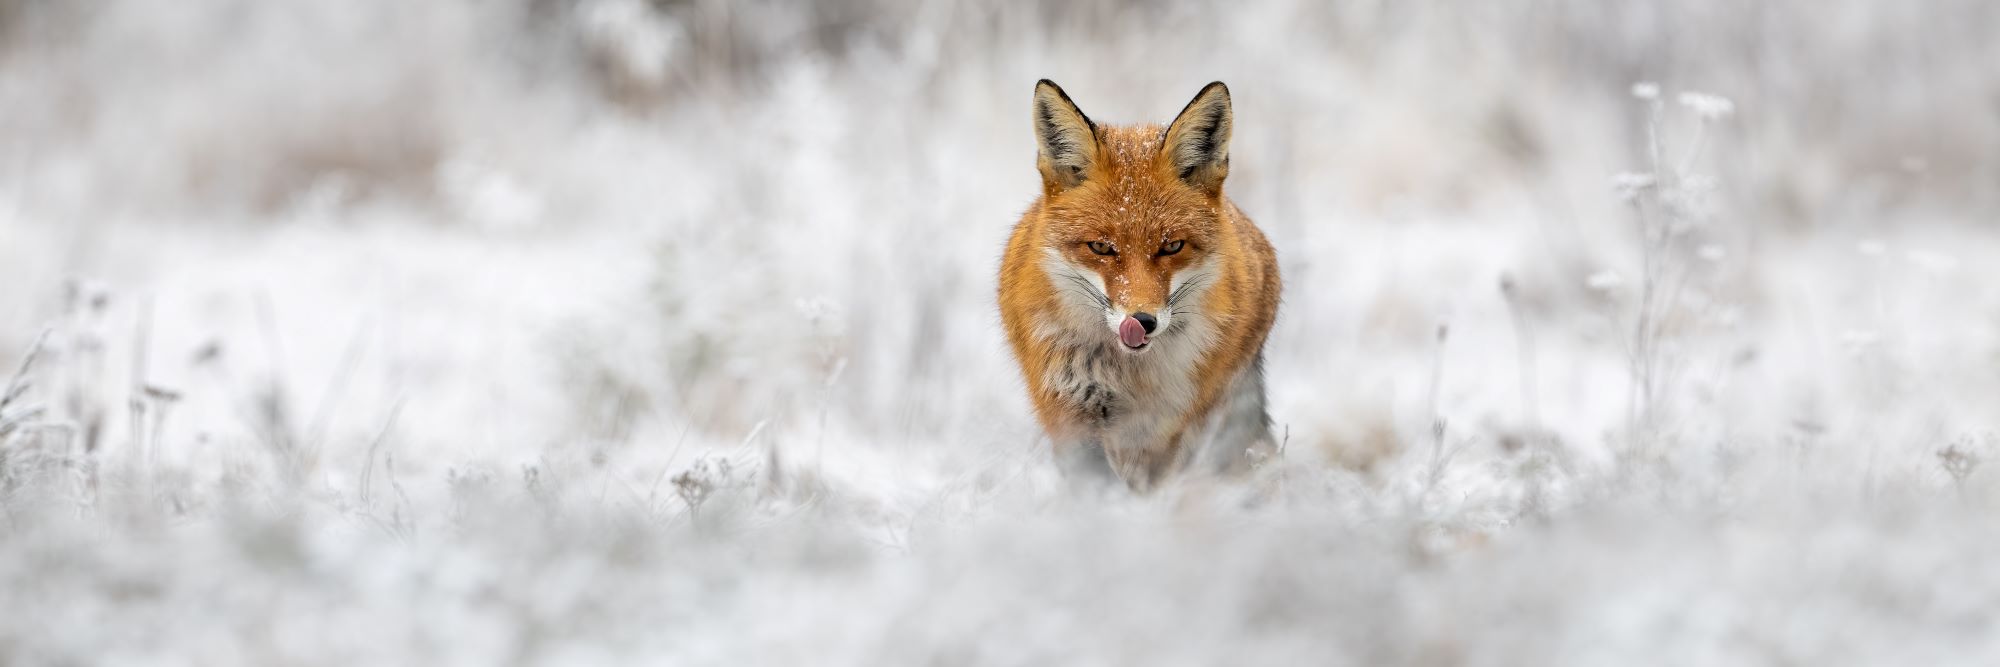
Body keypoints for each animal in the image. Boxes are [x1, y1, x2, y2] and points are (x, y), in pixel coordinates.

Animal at [996, 80, 1280, 493]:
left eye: (1172, 246)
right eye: (1101, 247)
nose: (1143, 321)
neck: (1130, 376)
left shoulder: (1170, 425)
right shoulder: (1070, 411)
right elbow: (1096, 486)